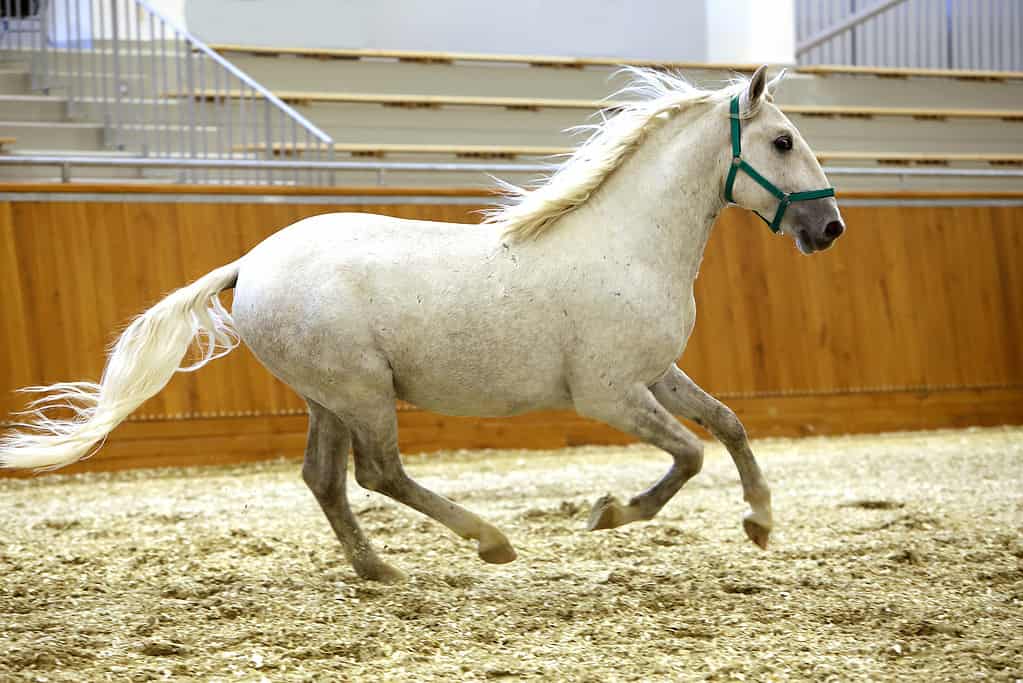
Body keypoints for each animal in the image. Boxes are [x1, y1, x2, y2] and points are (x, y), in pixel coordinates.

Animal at [3, 66, 842, 580]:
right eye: (781, 141)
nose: (829, 228)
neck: (625, 241)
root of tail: (249, 262)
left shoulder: (654, 373)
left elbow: (727, 423)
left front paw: (760, 521)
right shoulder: (606, 393)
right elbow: (689, 453)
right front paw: (610, 513)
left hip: (328, 397)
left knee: (325, 479)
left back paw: (380, 568)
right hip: (363, 390)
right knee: (378, 473)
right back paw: (489, 541)